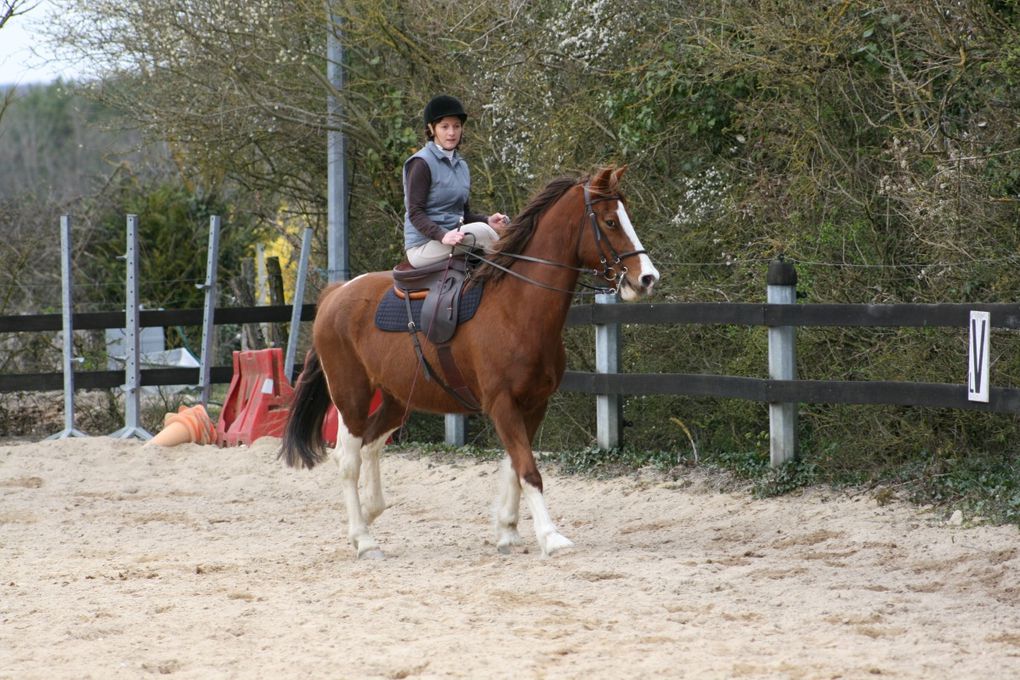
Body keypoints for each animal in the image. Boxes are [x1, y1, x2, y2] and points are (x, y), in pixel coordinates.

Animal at [279, 166, 660, 558]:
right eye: (611, 221)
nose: (647, 278)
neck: (516, 307)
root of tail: (335, 294)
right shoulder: (501, 403)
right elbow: (528, 469)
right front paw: (551, 537)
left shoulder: (534, 404)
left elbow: (514, 465)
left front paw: (507, 529)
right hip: (351, 397)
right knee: (348, 459)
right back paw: (364, 539)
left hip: (397, 400)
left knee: (370, 444)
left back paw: (371, 512)